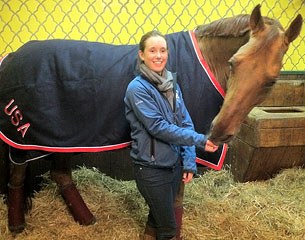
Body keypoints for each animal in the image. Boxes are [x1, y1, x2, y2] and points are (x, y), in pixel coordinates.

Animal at [0, 4, 300, 235]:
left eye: (271, 81)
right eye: (233, 63)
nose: (218, 131)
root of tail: (12, 56)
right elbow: (173, 200)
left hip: (66, 135)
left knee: (61, 173)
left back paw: (86, 219)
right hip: (23, 134)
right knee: (17, 173)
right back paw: (16, 225)